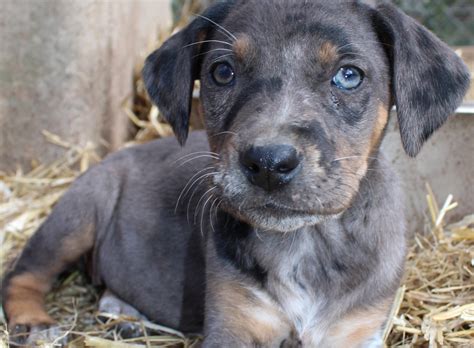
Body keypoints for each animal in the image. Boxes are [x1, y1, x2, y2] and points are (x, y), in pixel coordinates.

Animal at [0, 1, 470, 346]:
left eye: (349, 76)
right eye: (222, 72)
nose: (268, 164)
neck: (305, 243)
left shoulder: (356, 331)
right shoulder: (232, 324)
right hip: (78, 213)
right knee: (22, 274)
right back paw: (36, 324)